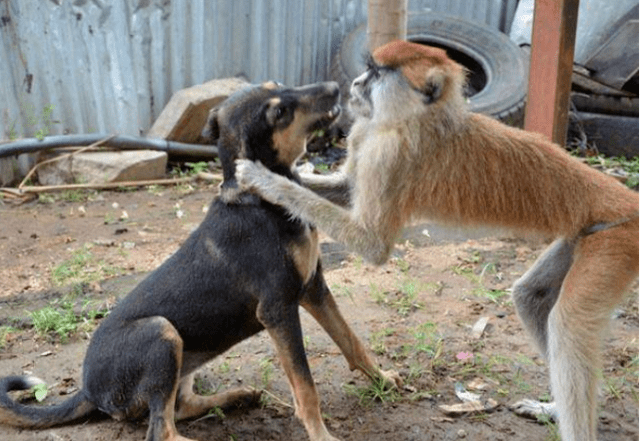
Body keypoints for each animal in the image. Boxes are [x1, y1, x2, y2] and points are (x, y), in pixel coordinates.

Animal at [0, 80, 400, 440]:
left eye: (279, 86)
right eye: (279, 112)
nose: (335, 87)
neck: (262, 198)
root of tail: (86, 390)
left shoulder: (313, 287)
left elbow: (352, 342)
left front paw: (383, 380)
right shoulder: (278, 309)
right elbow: (305, 386)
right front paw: (322, 435)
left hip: (182, 358)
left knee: (180, 408)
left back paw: (237, 397)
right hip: (160, 332)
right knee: (162, 431)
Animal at [236, 38, 640, 440]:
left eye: (377, 74)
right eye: (369, 69)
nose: (356, 84)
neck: (416, 116)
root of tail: (626, 201)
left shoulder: (389, 156)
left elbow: (374, 246)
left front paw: (264, 180)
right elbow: (346, 191)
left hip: (616, 241)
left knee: (568, 327)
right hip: (586, 236)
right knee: (531, 297)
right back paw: (552, 406)